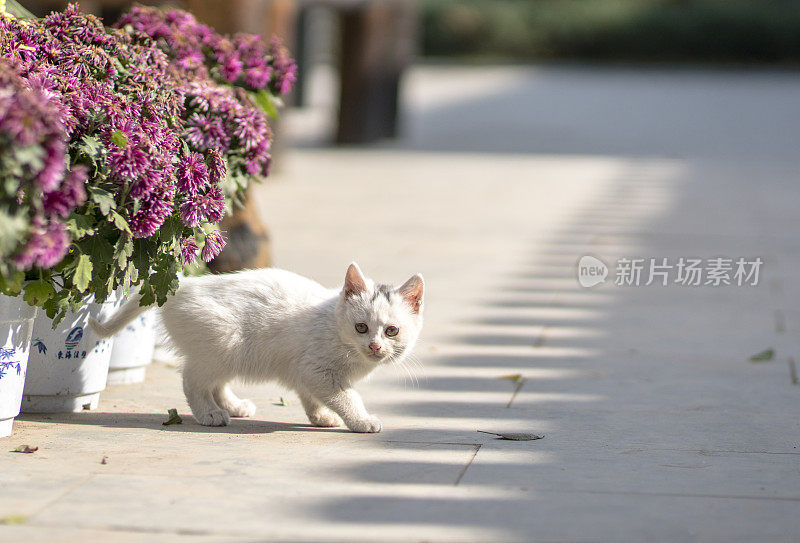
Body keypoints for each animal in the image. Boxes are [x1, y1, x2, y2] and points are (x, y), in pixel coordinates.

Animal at [90, 264, 422, 434]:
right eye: (361, 328)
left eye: (391, 331)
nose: (375, 346)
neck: (334, 325)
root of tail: (183, 285)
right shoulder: (317, 369)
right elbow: (346, 396)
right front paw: (361, 420)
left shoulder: (303, 371)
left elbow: (311, 396)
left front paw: (321, 417)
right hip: (224, 342)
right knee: (192, 380)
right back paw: (209, 413)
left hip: (226, 352)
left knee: (215, 383)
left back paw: (233, 407)